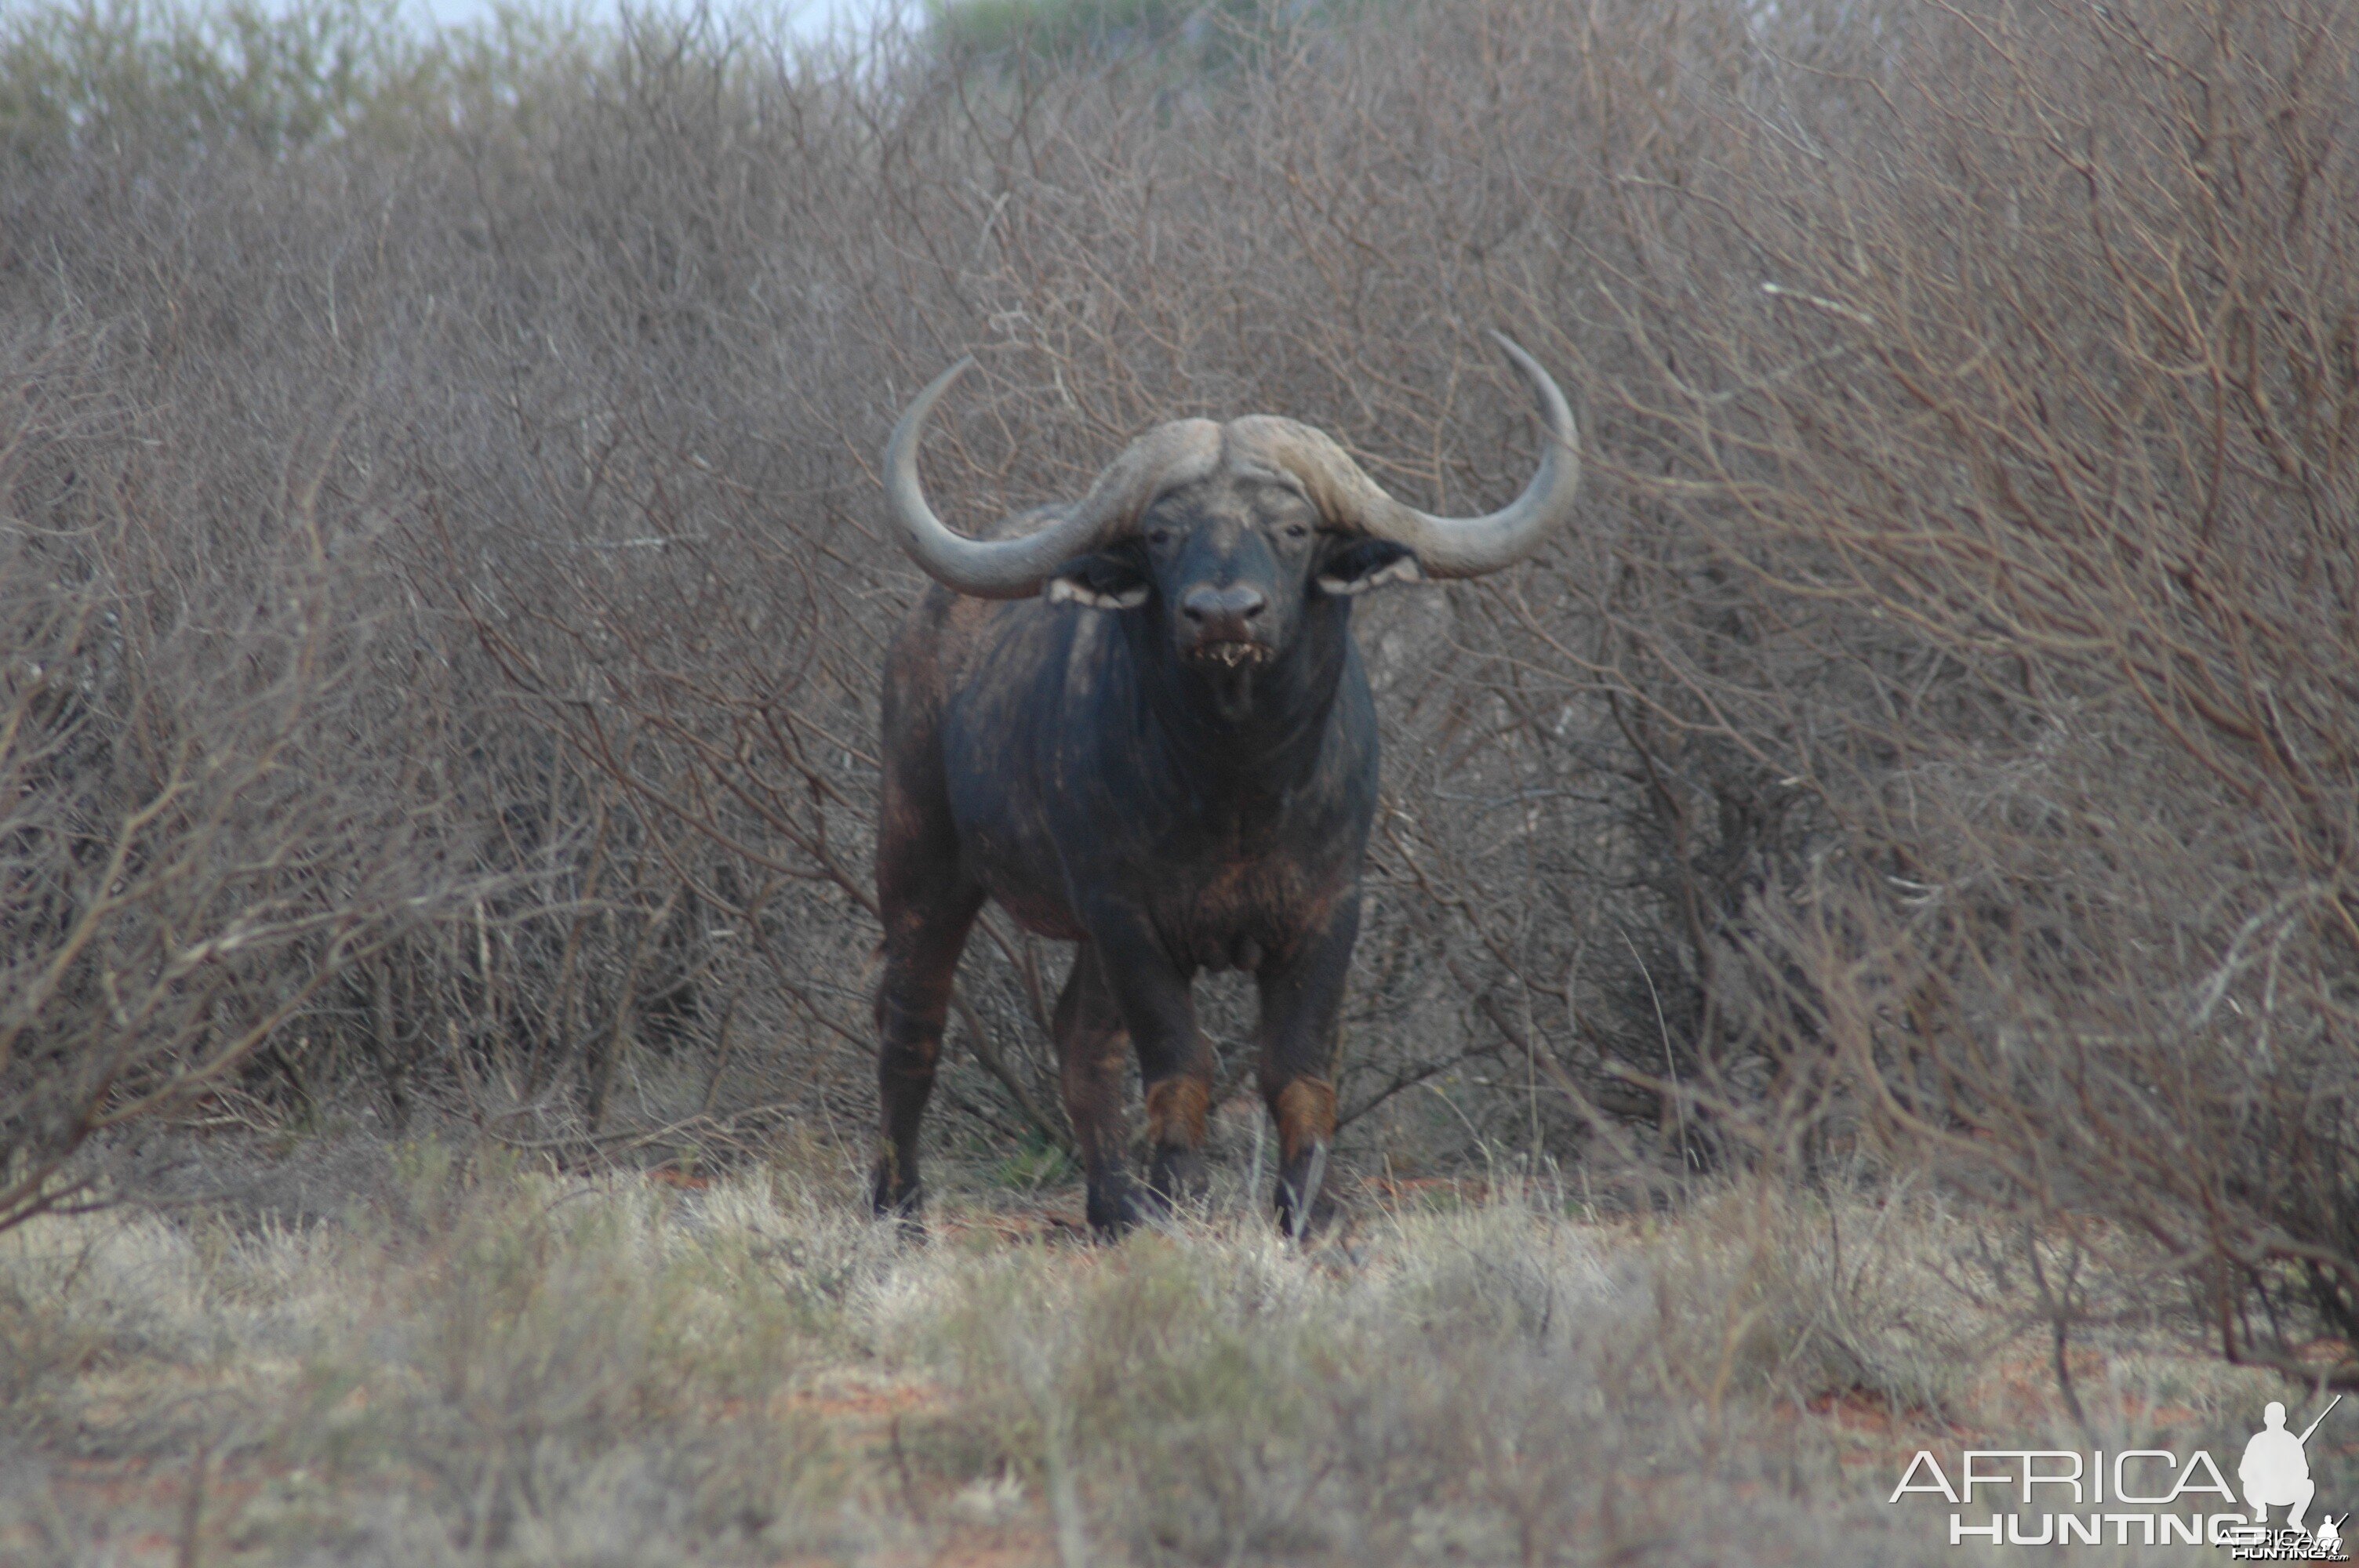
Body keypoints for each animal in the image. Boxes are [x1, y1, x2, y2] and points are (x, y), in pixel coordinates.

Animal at [867, 339, 1585, 1235]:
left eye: (1294, 529)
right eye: (1160, 533)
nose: (1223, 614)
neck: (1237, 786)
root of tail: (923, 626)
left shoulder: (1328, 911)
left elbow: (1296, 1072)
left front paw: (1307, 1214)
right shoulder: (1129, 919)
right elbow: (1181, 1067)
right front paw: (1180, 1202)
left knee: (1078, 1037)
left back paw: (1114, 1208)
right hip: (919, 863)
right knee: (912, 1025)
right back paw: (898, 1207)